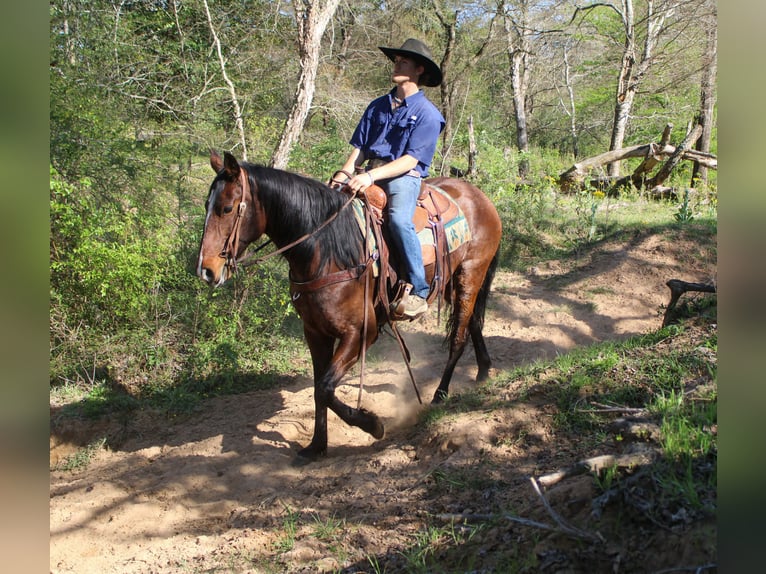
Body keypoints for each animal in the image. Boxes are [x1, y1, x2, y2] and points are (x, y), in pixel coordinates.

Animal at [197, 150, 502, 460]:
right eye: (207, 205)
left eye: (226, 208)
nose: (206, 270)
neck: (325, 251)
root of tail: (478, 196)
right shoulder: (315, 333)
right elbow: (319, 388)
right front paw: (317, 446)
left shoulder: (361, 333)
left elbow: (326, 388)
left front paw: (371, 424)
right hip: (453, 281)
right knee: (474, 322)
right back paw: (483, 370)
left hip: (470, 275)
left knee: (459, 337)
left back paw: (440, 394)